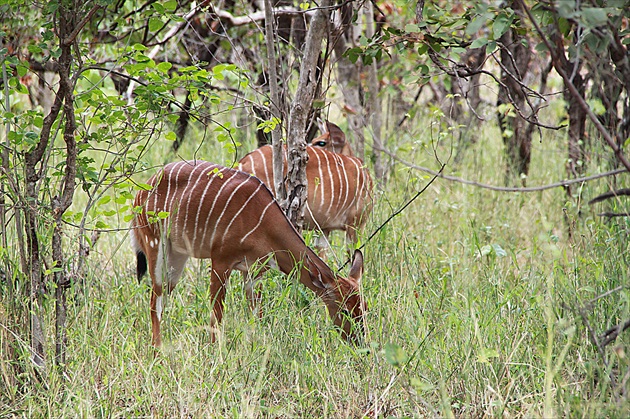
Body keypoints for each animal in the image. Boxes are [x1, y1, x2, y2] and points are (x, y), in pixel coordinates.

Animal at [131, 161, 368, 348]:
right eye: (345, 310)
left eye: (364, 308)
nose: (361, 344)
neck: (264, 221)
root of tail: (139, 195)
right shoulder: (220, 259)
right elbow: (217, 314)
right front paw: (213, 354)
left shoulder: (255, 271)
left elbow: (256, 315)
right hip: (155, 244)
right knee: (155, 301)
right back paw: (157, 353)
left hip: (177, 256)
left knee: (161, 298)